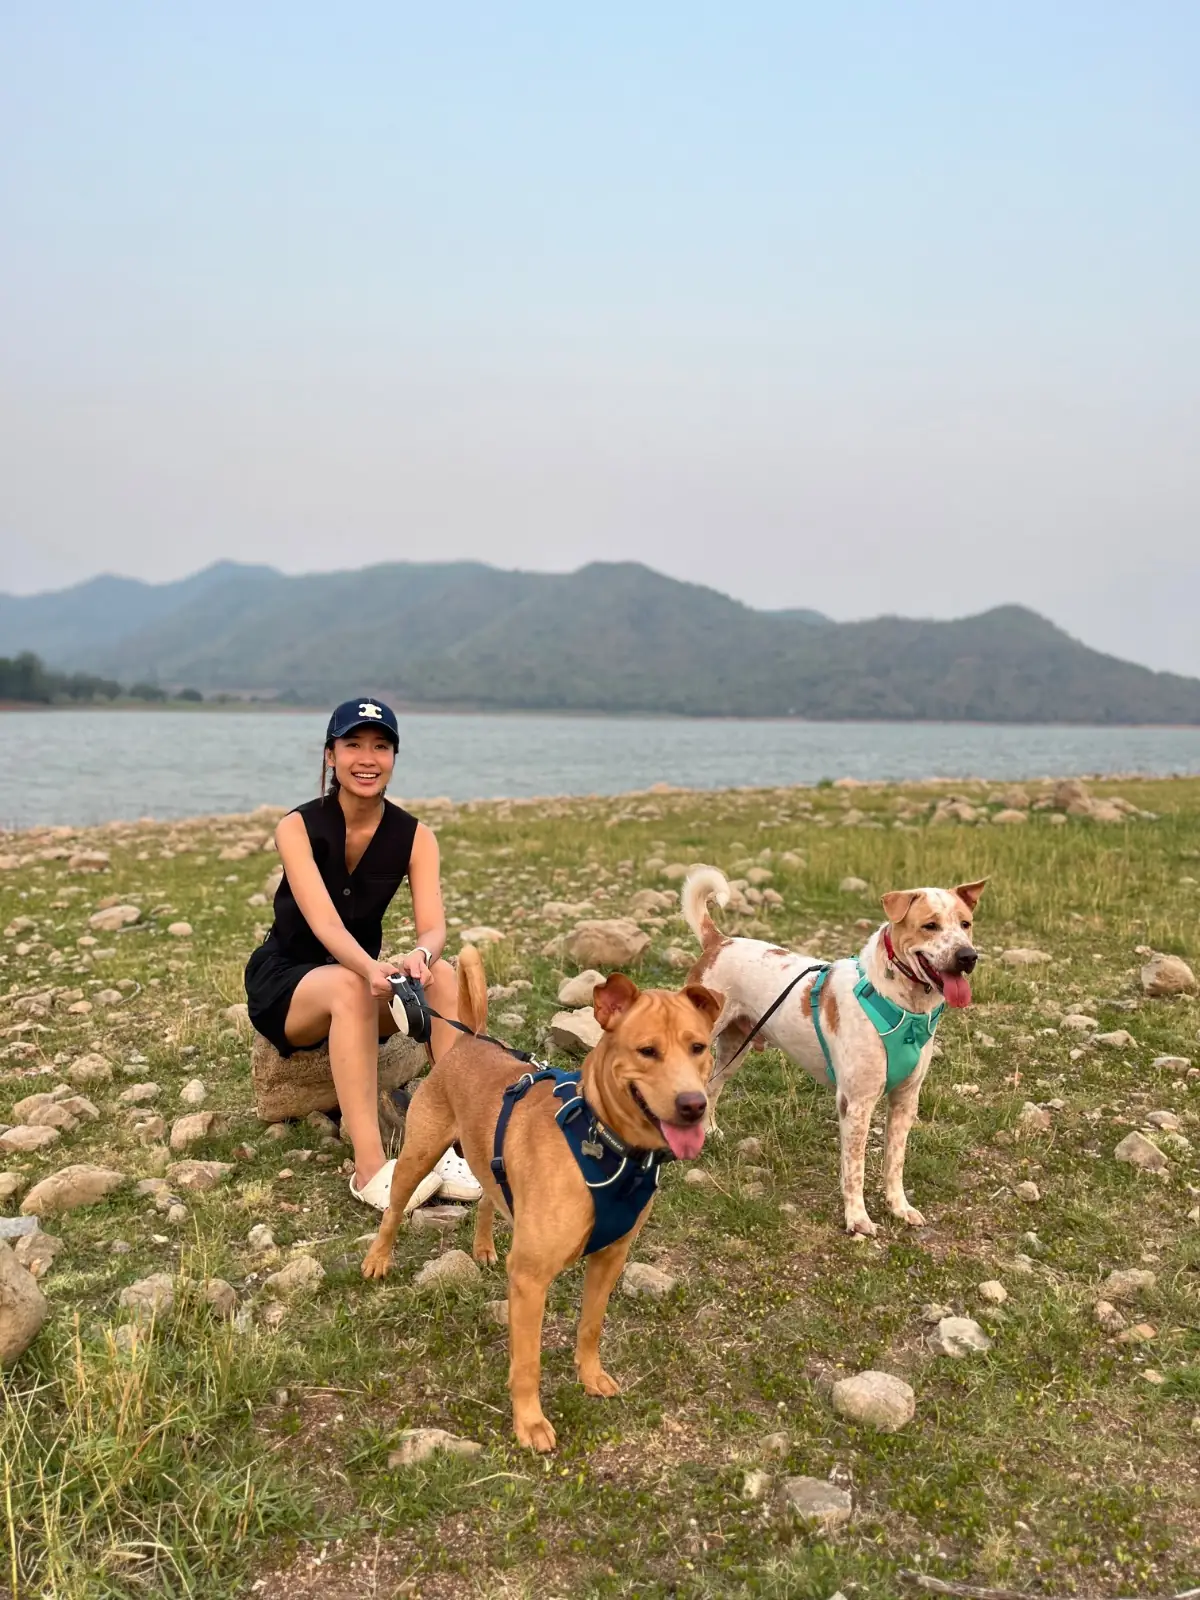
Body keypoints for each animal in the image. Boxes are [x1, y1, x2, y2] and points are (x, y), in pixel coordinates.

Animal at [361, 945, 722, 1452]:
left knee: (490, 1196)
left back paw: (484, 1246)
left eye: (698, 1048)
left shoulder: (610, 1257)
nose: (694, 1105)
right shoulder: (531, 1279)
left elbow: (591, 1325)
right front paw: (529, 1423)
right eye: (647, 1051)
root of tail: (470, 1040)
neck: (605, 1143)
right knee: (394, 1211)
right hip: (417, 1156)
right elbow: (528, 1362)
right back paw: (378, 1258)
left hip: (486, 1156)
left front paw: (590, 1375)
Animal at [682, 867, 985, 1236]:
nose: (967, 957)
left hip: (735, 1048)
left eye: (966, 924)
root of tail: (719, 941)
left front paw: (899, 1207)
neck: (904, 1007)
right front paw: (857, 1218)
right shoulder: (857, 1104)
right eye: (930, 925)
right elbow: (855, 1170)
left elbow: (894, 1162)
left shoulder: (905, 1100)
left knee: (712, 1087)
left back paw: (709, 1132)